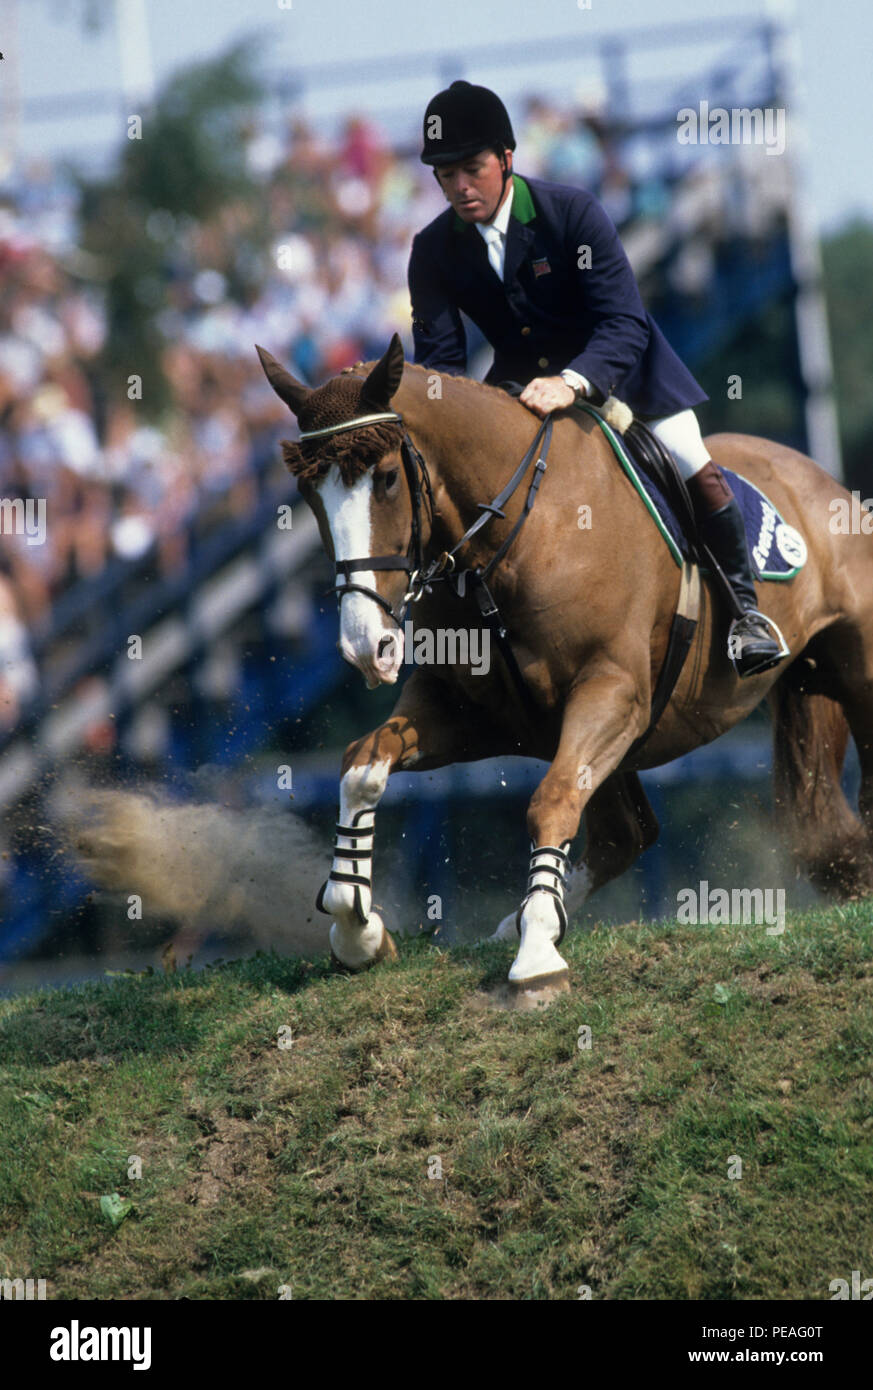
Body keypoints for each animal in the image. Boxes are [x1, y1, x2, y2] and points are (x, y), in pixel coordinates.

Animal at [257, 332, 873, 995]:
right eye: (309, 496)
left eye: (390, 478)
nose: (366, 647)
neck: (506, 545)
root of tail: (825, 483)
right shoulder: (473, 712)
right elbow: (362, 764)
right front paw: (357, 927)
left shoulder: (613, 692)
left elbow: (549, 800)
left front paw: (535, 958)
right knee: (625, 834)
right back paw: (519, 919)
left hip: (856, 675)